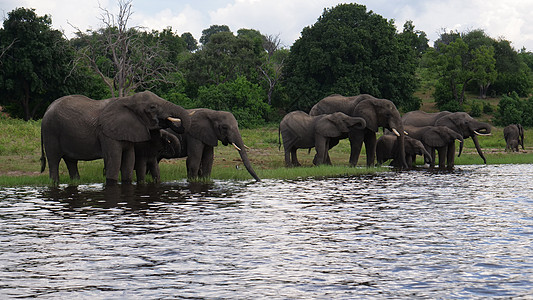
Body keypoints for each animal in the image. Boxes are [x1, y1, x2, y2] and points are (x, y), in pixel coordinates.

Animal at [40, 91, 189, 185]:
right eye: (152, 107)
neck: (127, 100)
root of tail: (47, 110)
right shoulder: (106, 133)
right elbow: (115, 161)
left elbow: (129, 161)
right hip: (51, 131)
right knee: (54, 161)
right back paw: (54, 183)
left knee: (71, 162)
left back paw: (76, 182)